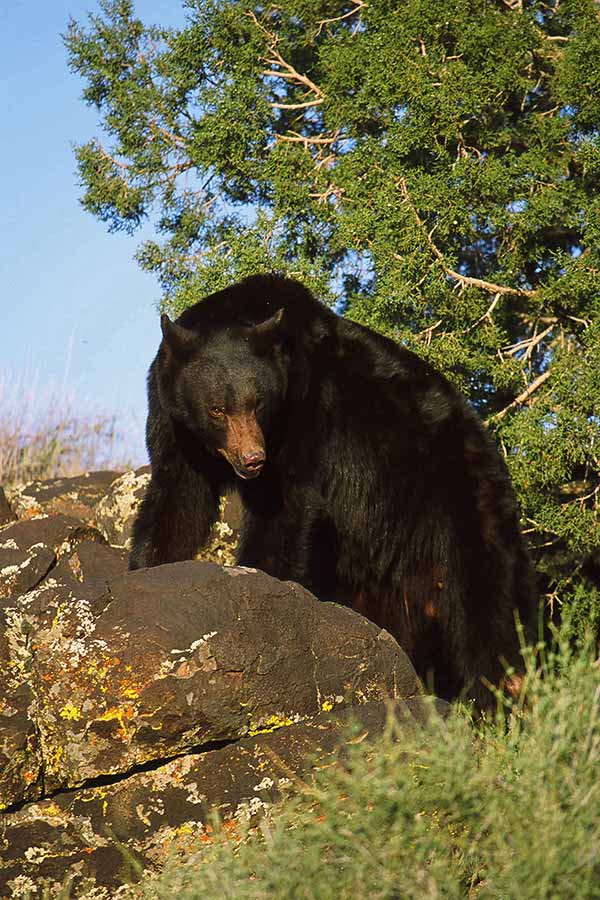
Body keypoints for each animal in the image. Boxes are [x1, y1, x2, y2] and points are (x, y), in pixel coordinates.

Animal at [130, 274, 536, 712]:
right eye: (218, 408)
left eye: (258, 403)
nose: (252, 459)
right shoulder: (174, 425)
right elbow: (177, 502)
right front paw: (147, 570)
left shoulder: (307, 415)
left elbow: (284, 511)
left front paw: (259, 588)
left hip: (460, 509)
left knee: (487, 617)